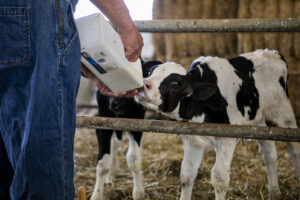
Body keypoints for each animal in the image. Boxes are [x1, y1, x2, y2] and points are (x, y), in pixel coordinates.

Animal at [135, 49, 300, 200]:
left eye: (175, 83)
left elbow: (220, 178)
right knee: (269, 153)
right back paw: (274, 192)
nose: (144, 84)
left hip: (283, 114)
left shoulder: (227, 138)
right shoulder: (192, 139)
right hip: (257, 120)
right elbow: (186, 174)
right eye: (149, 72)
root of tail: (272, 52)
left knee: (294, 149)